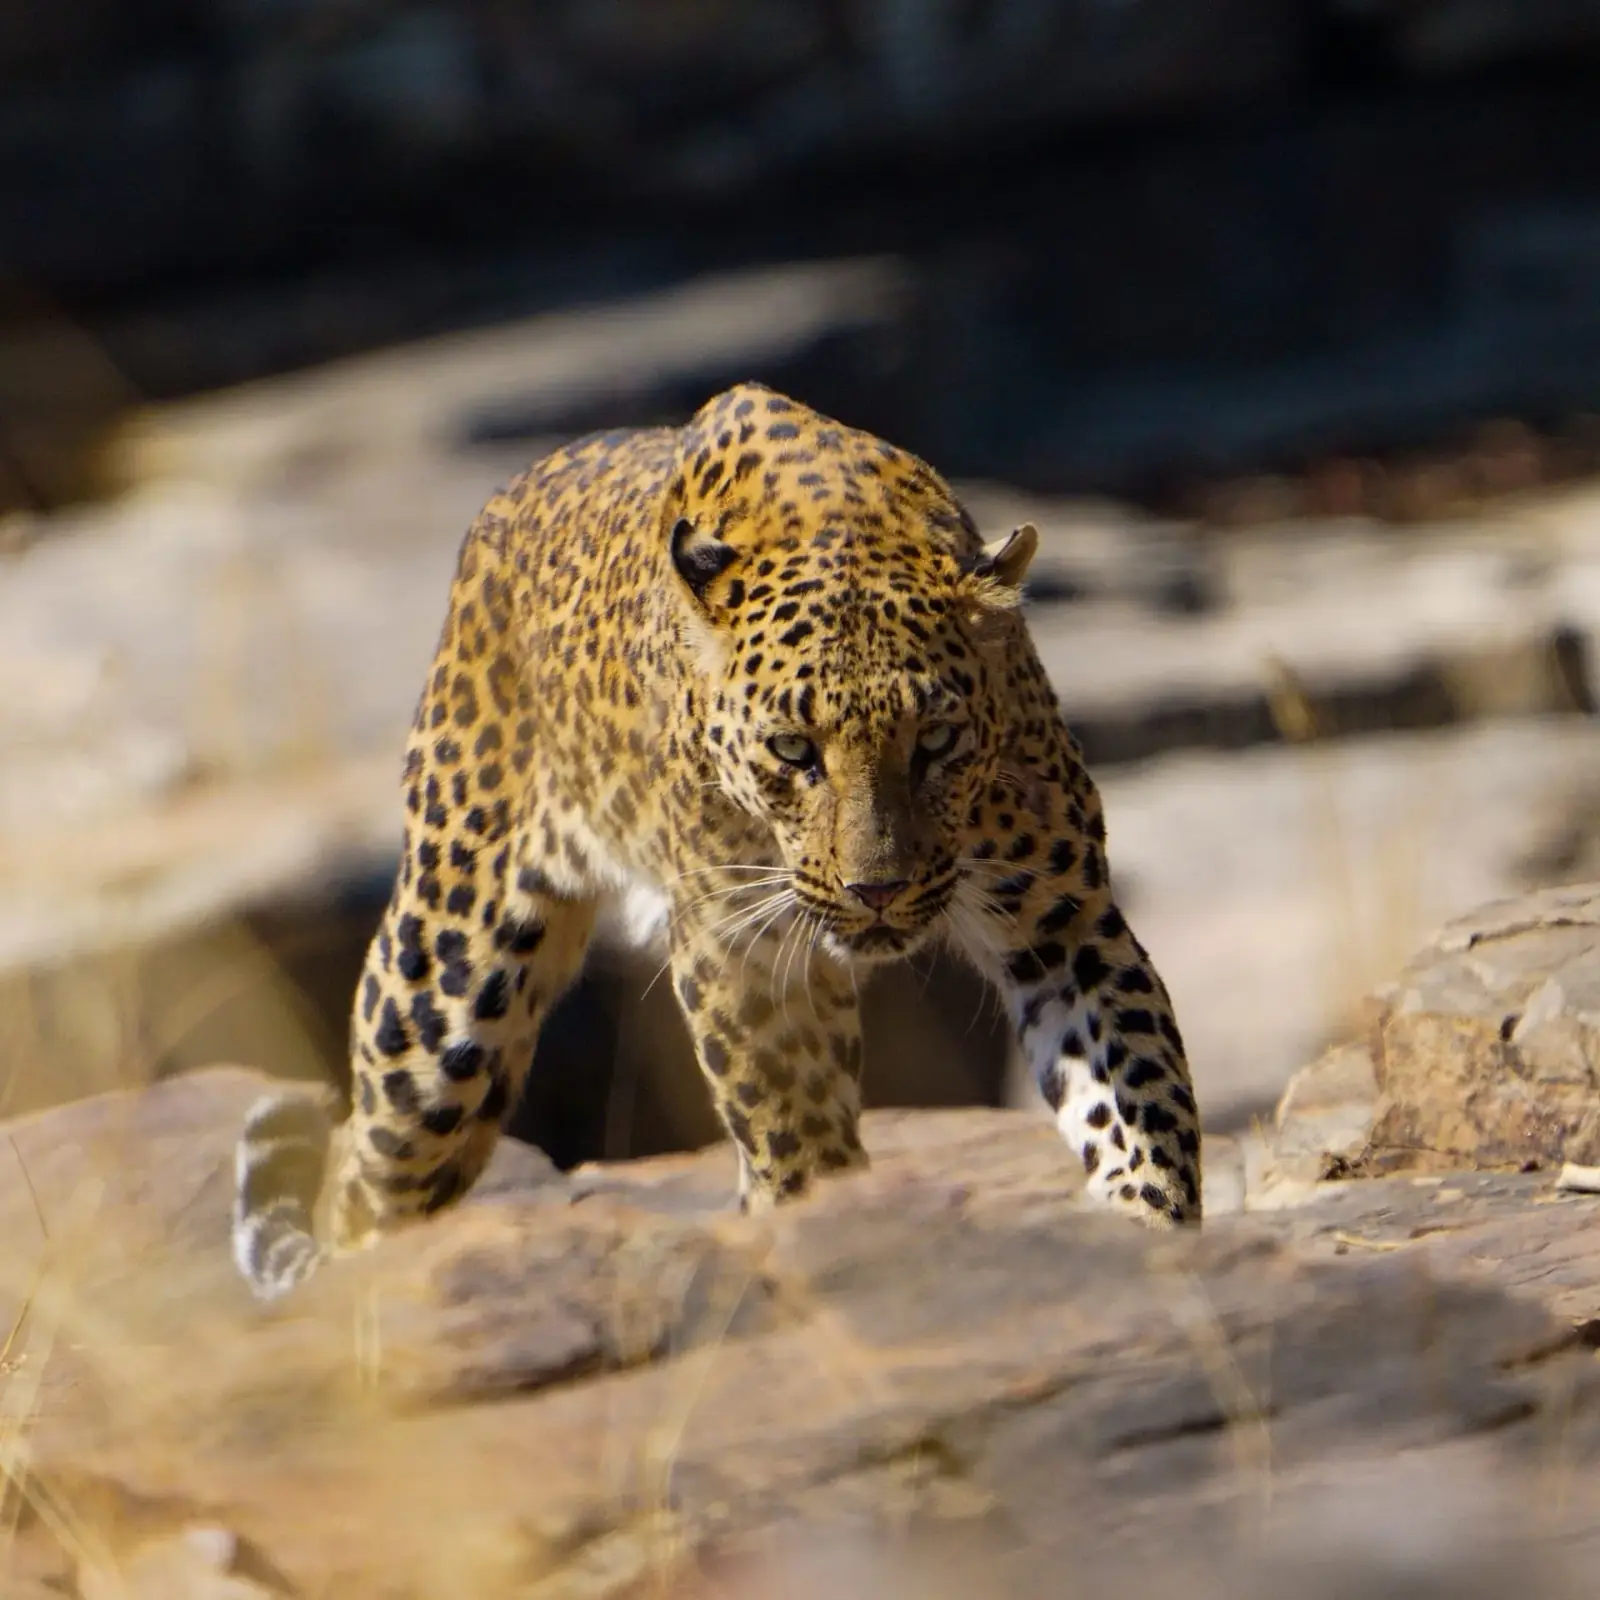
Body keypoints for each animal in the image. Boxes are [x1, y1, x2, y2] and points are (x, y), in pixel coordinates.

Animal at [232, 382, 1202, 1298]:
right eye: (793, 749)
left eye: (934, 741)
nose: (877, 891)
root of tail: (504, 503)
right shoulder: (739, 947)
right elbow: (795, 1130)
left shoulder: (1066, 918)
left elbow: (1138, 1096)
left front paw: (1151, 1238)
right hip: (444, 994)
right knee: (364, 1171)